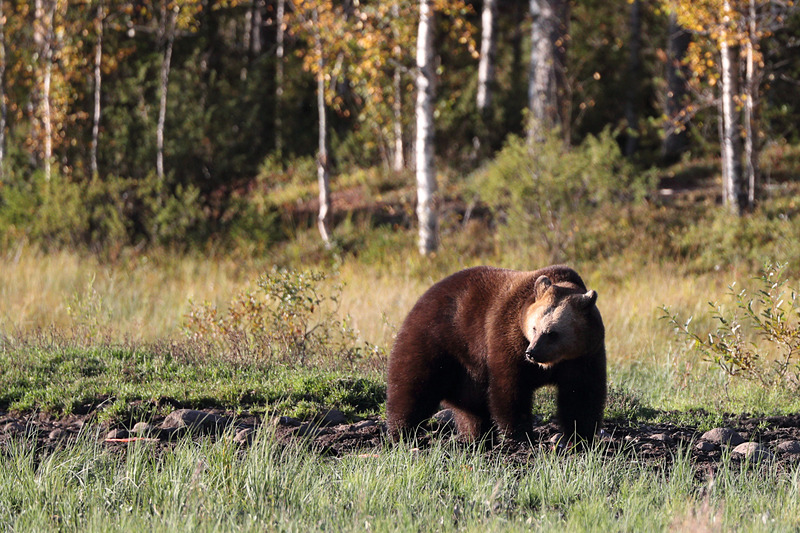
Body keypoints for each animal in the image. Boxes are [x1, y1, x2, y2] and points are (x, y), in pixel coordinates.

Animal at [386, 265, 606, 443]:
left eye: (552, 333)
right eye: (534, 328)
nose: (532, 353)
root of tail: (425, 295)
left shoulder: (584, 356)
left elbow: (581, 394)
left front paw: (580, 436)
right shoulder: (508, 337)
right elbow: (510, 387)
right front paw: (520, 433)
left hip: (468, 370)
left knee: (471, 408)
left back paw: (476, 435)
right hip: (438, 338)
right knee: (413, 384)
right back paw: (402, 431)